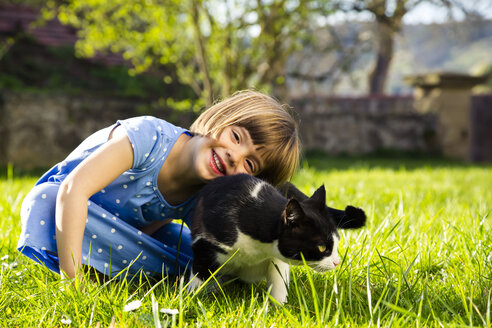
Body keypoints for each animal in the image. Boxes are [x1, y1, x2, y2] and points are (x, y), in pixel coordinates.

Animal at [188, 174, 366, 304]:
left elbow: (279, 280)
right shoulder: (204, 245)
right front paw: (192, 301)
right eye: (322, 247)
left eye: (336, 243)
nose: (337, 262)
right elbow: (198, 277)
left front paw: (279, 308)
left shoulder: (276, 258)